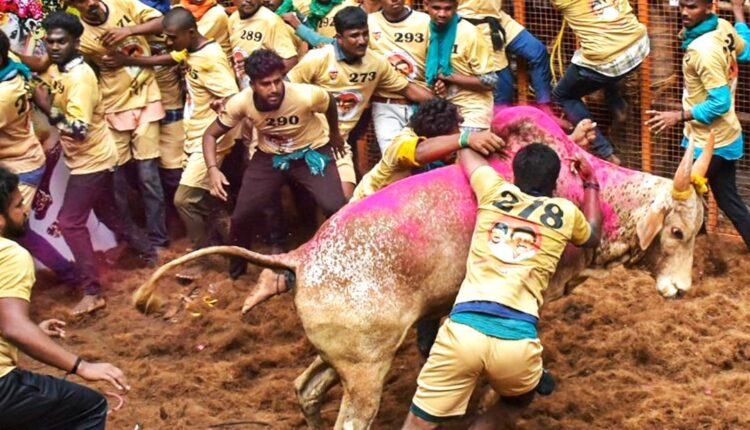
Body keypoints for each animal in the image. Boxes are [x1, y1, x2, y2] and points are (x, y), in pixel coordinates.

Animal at [132, 106, 712, 428]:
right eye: (677, 233)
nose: (680, 290)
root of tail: (301, 256)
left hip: (349, 357)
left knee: (306, 389)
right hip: (366, 372)